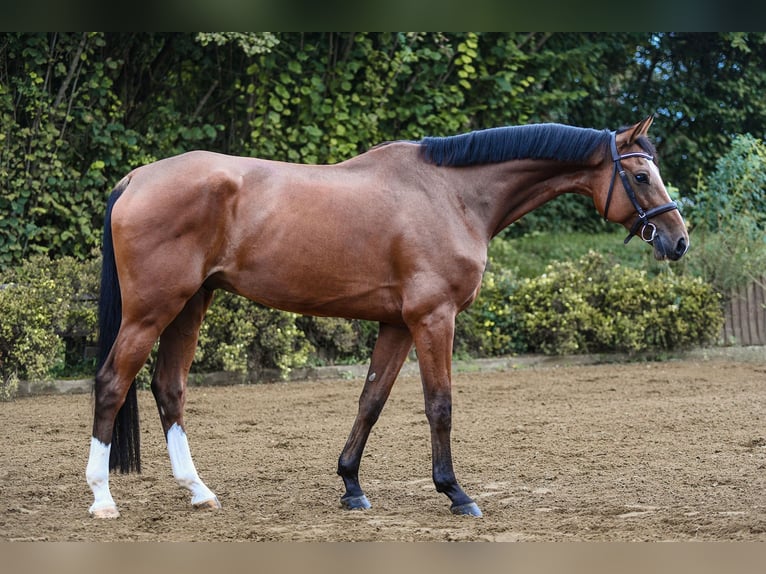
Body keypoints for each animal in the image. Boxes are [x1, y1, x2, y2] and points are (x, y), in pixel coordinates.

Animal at [85, 115, 688, 520]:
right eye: (640, 176)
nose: (678, 240)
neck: (452, 194)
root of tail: (136, 178)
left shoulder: (398, 323)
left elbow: (371, 400)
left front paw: (351, 486)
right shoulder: (433, 319)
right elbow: (439, 405)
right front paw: (455, 492)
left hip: (190, 305)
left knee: (169, 387)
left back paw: (198, 491)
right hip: (152, 309)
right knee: (112, 383)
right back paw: (102, 498)